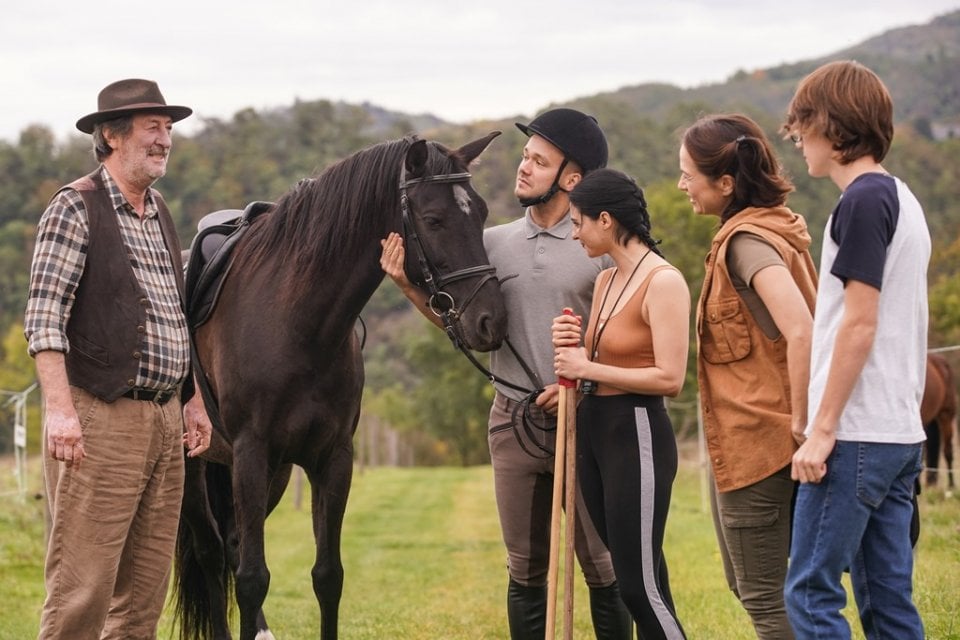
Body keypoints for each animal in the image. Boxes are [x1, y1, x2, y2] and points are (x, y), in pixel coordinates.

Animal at [173, 131, 510, 640]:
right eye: (434, 219)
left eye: (483, 213)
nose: (491, 320)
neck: (295, 321)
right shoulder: (252, 452)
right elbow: (253, 579)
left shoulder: (331, 459)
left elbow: (327, 575)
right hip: (197, 470)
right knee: (212, 552)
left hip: (271, 474)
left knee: (231, 543)